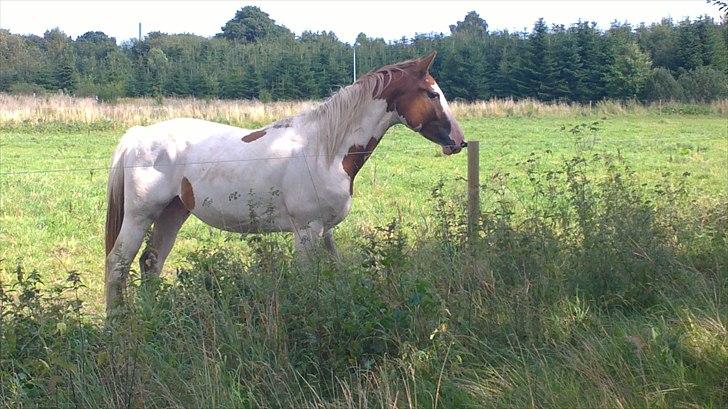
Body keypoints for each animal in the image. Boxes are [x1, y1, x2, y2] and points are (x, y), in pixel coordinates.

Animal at [105, 51, 464, 312]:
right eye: (433, 94)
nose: (458, 141)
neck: (325, 149)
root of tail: (137, 136)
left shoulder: (325, 230)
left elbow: (335, 271)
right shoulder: (306, 230)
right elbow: (307, 280)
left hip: (173, 213)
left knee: (151, 262)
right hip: (140, 216)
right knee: (117, 264)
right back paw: (115, 325)